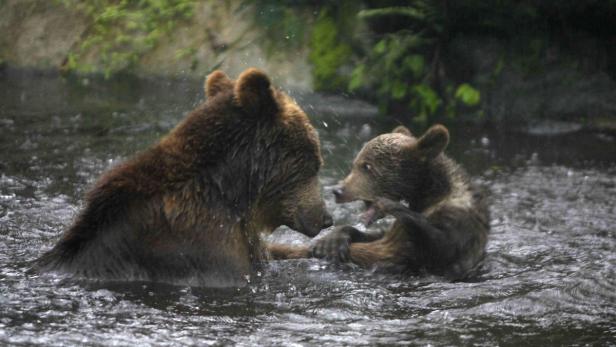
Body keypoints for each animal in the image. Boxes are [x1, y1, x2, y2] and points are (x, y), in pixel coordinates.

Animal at [270, 125, 490, 282]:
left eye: (367, 166)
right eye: (355, 163)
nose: (338, 190)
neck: (432, 190)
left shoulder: (458, 221)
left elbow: (441, 245)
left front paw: (388, 204)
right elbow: (377, 235)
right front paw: (333, 240)